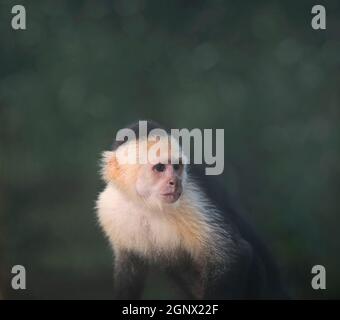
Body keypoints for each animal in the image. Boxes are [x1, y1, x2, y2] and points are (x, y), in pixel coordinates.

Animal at [95, 120, 286, 300]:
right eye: (160, 168)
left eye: (177, 166)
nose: (175, 182)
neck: (145, 204)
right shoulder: (108, 208)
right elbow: (129, 268)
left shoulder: (190, 198)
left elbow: (234, 255)